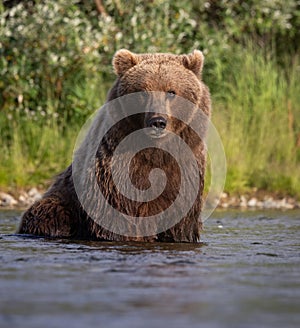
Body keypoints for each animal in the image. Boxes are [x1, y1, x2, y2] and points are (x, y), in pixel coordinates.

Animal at [18, 49, 211, 243]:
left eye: (171, 91)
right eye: (143, 91)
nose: (157, 121)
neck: (156, 150)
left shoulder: (184, 170)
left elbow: (179, 222)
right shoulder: (117, 170)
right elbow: (122, 213)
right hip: (63, 200)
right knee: (49, 215)